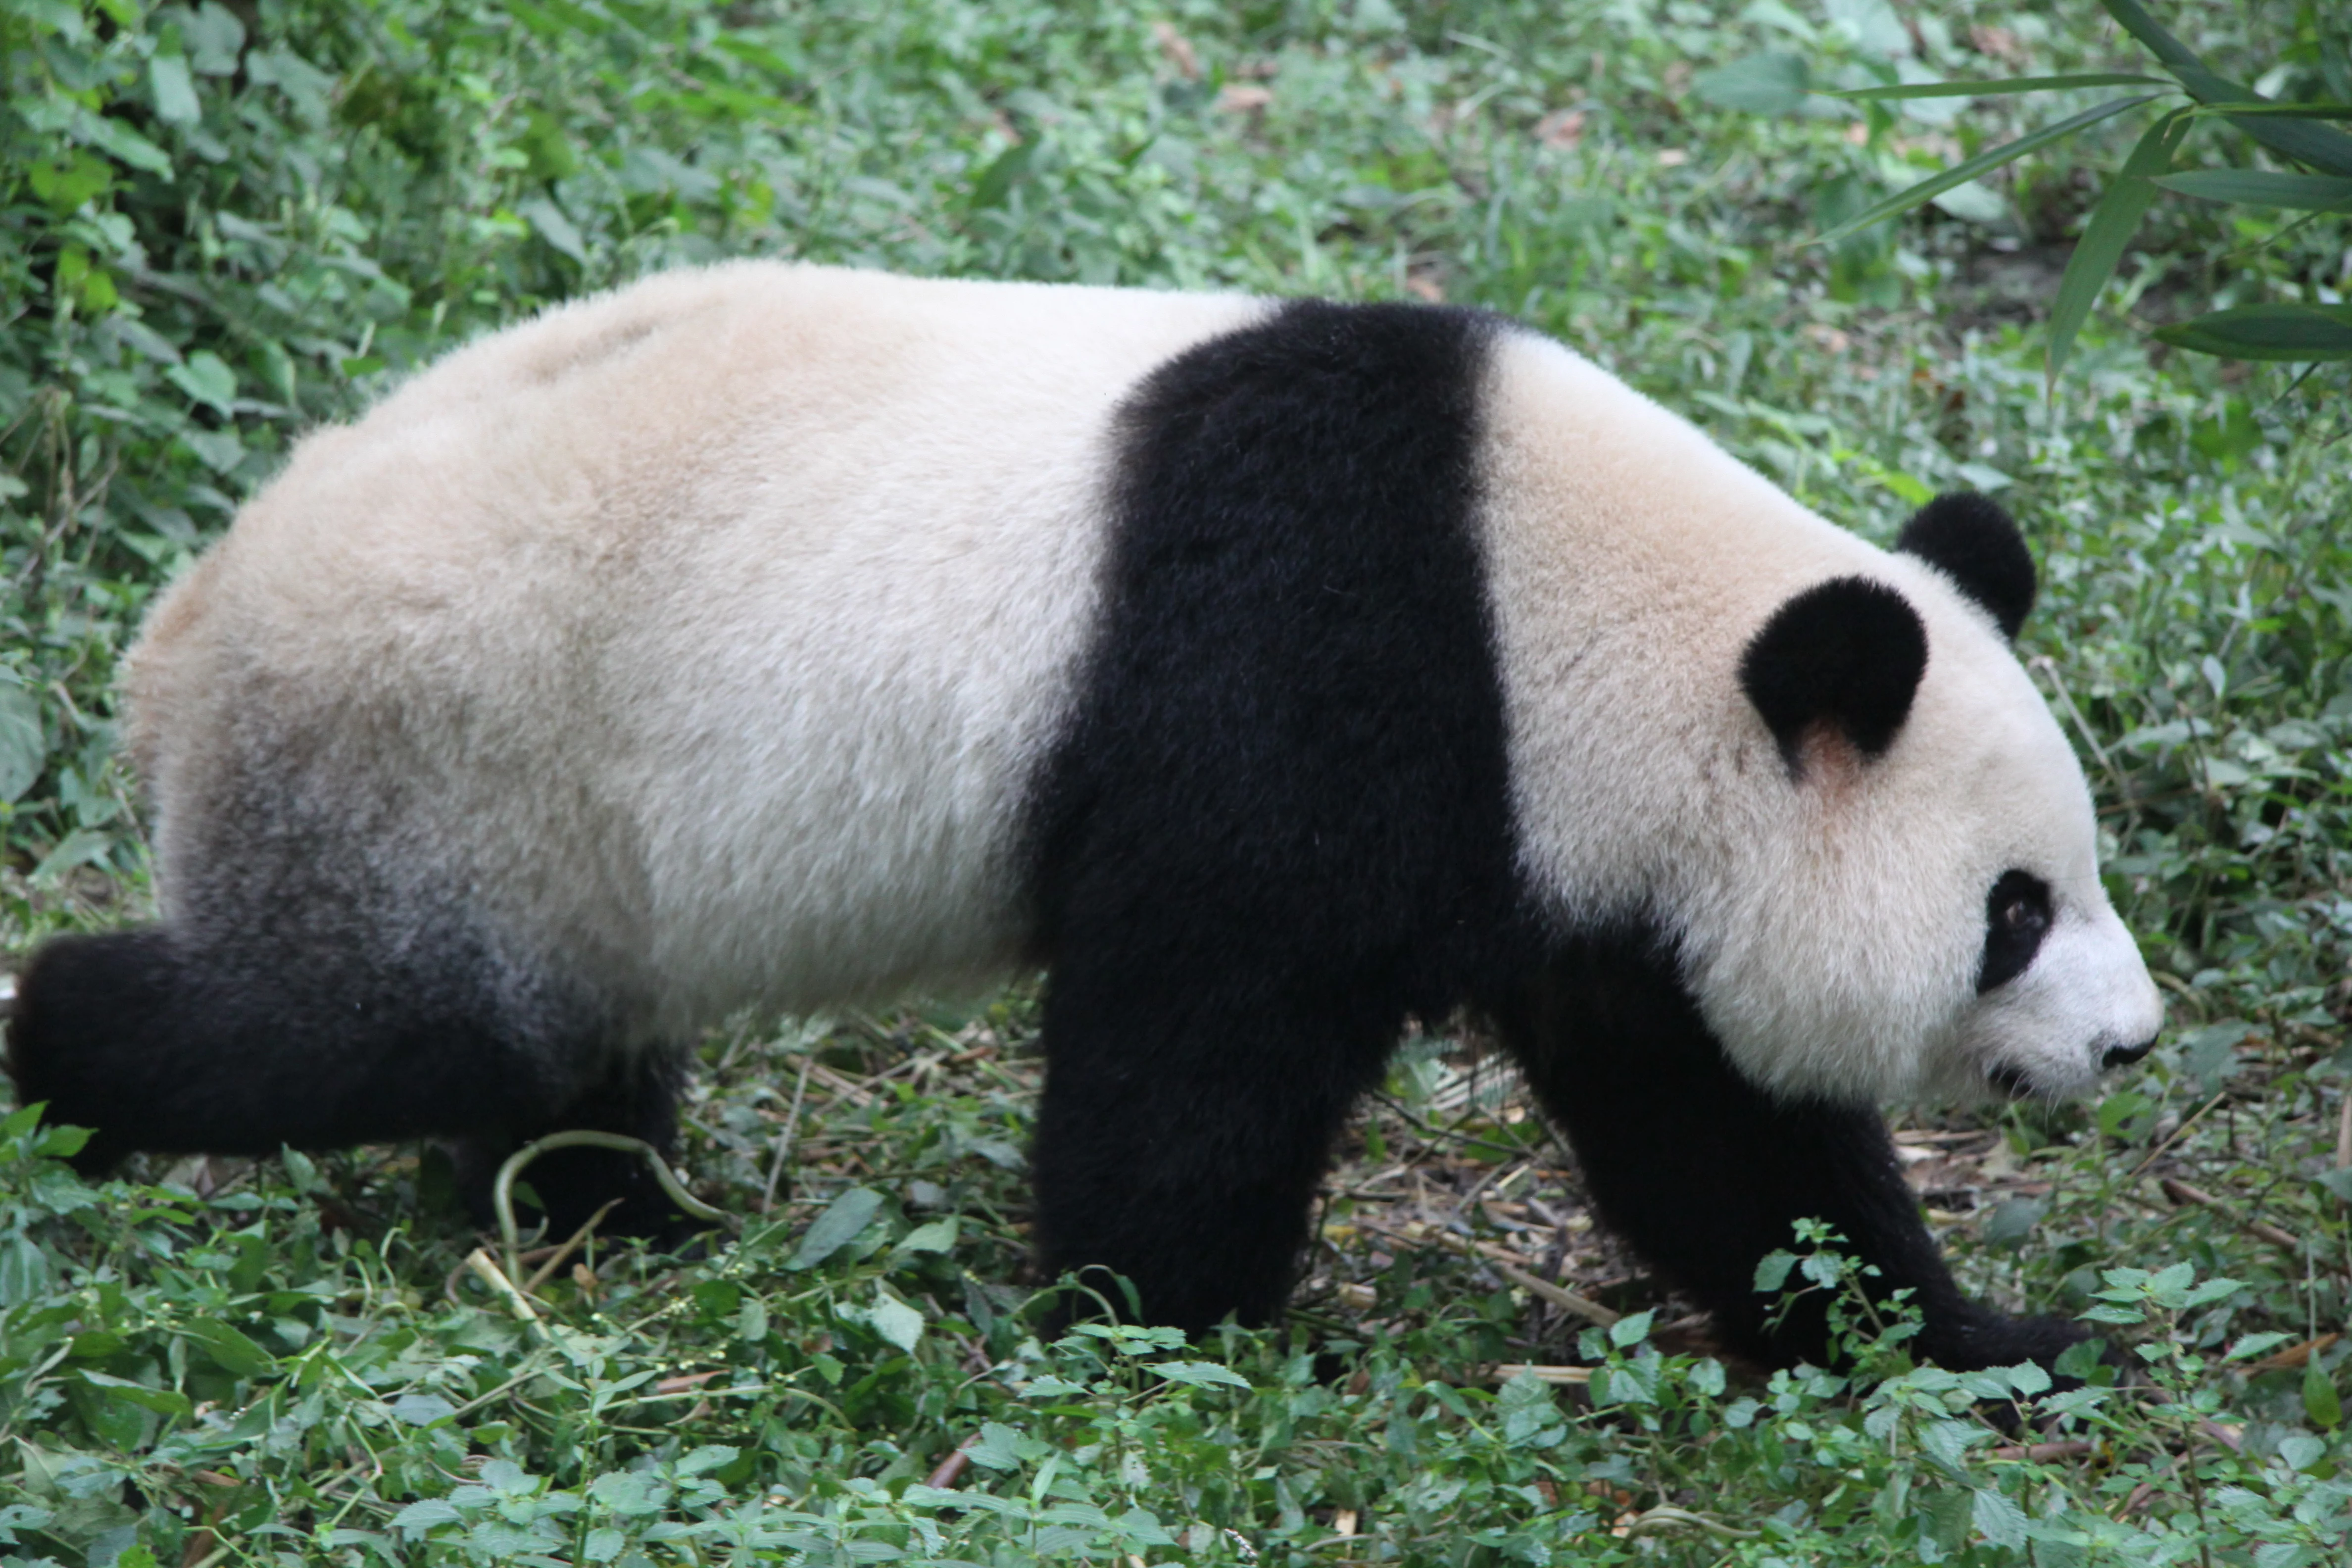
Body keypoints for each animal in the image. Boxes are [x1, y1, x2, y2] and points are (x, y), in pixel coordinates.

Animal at [4, 261, 2164, 1371]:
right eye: (2013, 909)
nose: (2133, 1045)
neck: (1552, 603)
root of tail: (182, 629)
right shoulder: (1303, 691)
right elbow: (1191, 1053)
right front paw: (1174, 1324)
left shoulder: (1576, 861)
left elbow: (1712, 1130)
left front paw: (1988, 1336)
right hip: (440, 755)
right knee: (363, 1022)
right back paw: (66, 1079)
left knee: (544, 1065)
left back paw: (607, 1218)